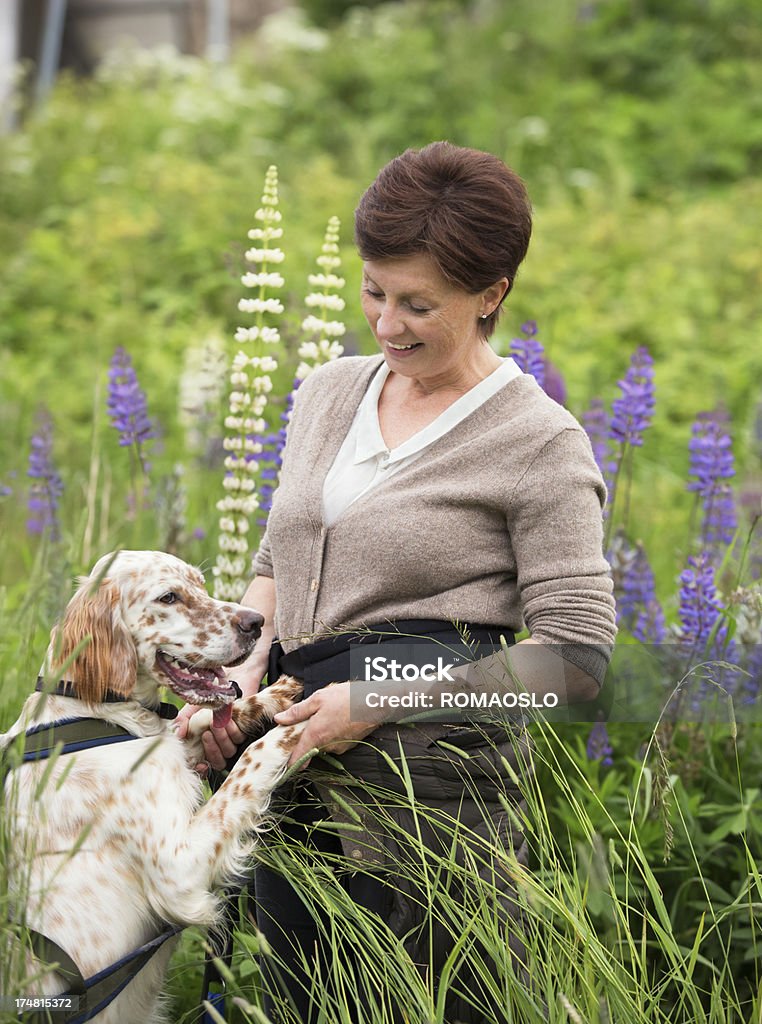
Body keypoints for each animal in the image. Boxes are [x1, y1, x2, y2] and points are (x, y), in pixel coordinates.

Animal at [3, 552, 307, 1024]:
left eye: (200, 585)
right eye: (169, 597)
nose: (256, 621)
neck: (95, 711)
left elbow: (202, 720)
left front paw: (272, 695)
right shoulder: (177, 873)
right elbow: (247, 766)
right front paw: (294, 728)